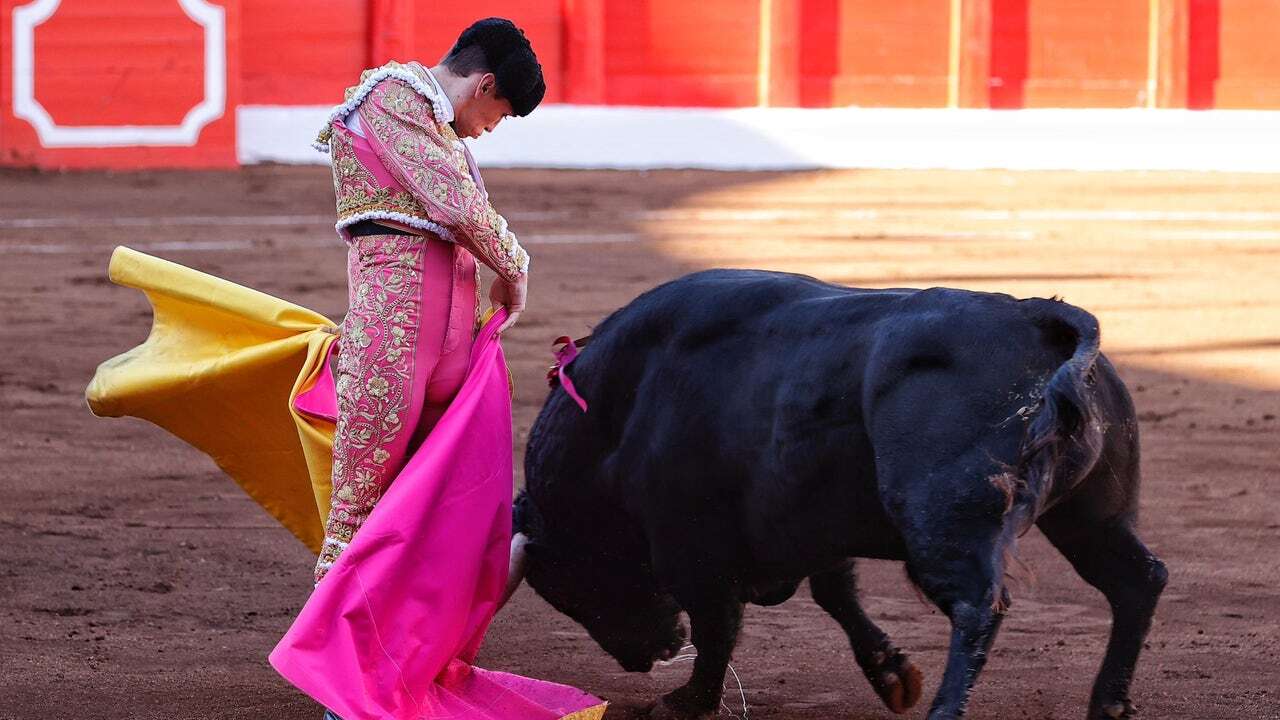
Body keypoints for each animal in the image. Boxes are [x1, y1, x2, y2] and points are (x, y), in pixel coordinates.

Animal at [504, 267, 1167, 717]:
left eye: (574, 587)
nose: (646, 656)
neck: (617, 417)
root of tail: (1037, 318)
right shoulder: (810, 522)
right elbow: (836, 594)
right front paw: (892, 674)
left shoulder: (693, 551)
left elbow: (721, 625)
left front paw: (687, 700)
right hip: (1091, 515)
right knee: (1138, 579)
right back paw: (1108, 704)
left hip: (943, 520)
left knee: (979, 605)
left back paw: (947, 710)